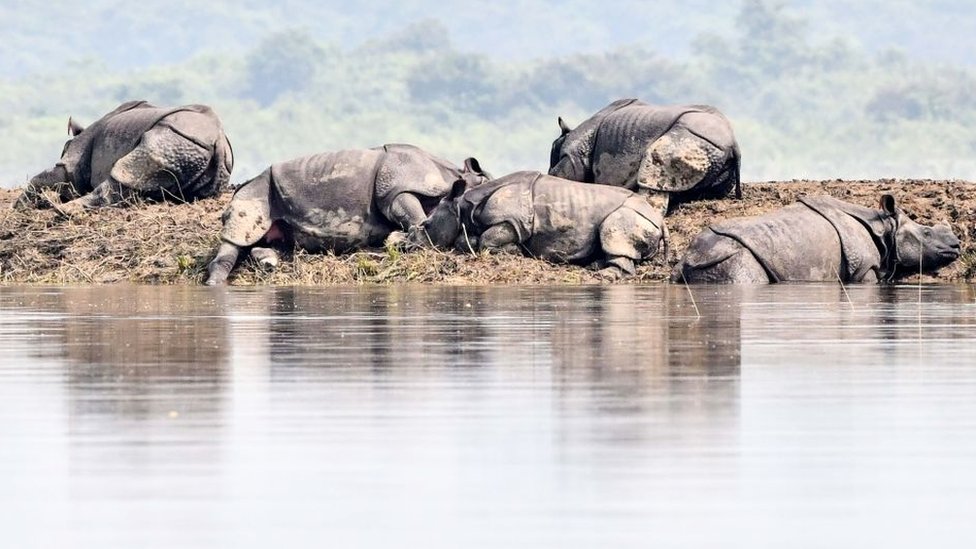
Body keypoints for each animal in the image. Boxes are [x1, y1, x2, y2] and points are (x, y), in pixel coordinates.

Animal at [15, 99, 233, 211]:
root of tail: (219, 142)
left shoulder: (75, 159)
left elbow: (56, 174)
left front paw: (19, 206)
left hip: (174, 137)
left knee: (124, 171)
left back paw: (61, 210)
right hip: (197, 151)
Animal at [209, 143, 492, 284]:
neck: (452, 175)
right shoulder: (396, 189)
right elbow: (409, 210)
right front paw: (412, 237)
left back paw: (268, 261)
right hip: (256, 189)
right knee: (240, 233)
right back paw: (215, 282)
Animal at [408, 170, 668, 278]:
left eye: (427, 225)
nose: (407, 245)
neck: (463, 207)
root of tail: (660, 220)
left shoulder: (512, 222)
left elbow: (487, 240)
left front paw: (515, 251)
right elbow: (470, 240)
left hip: (631, 215)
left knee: (614, 231)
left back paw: (604, 275)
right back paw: (595, 266)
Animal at [672, 194, 960, 282]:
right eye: (926, 233)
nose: (957, 245)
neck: (884, 227)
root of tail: (684, 259)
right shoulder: (863, 268)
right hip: (730, 257)